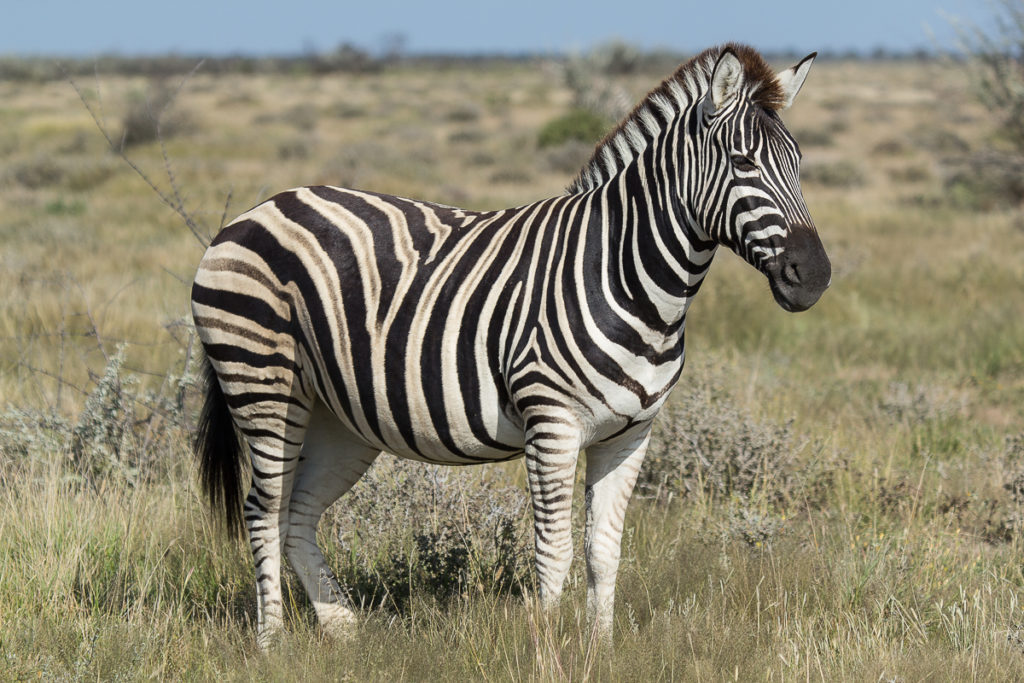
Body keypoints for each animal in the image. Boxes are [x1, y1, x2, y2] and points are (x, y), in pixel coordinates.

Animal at [192, 40, 831, 651]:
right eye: (743, 162)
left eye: (799, 163)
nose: (815, 276)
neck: (627, 275)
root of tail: (256, 210)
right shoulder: (552, 423)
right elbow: (555, 553)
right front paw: (546, 652)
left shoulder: (631, 434)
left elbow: (604, 550)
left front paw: (601, 651)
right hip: (262, 382)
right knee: (262, 510)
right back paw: (272, 642)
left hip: (340, 416)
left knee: (297, 513)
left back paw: (344, 629)